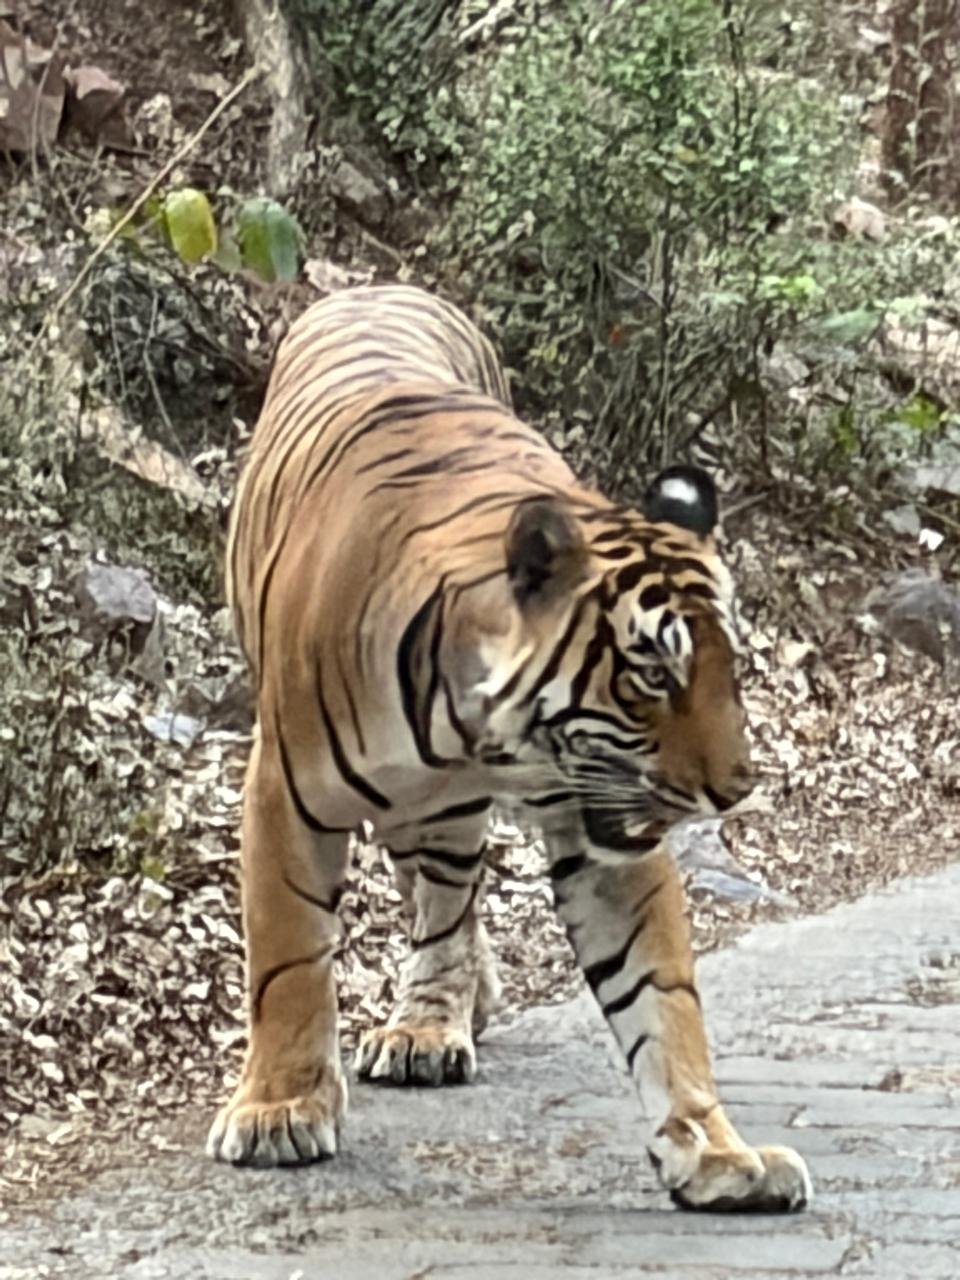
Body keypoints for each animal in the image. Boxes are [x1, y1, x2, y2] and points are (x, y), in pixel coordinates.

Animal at [207, 283, 811, 1212]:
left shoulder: (599, 836)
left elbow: (661, 995)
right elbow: (289, 958)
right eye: (652, 673)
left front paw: (714, 1151)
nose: (736, 788)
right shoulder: (284, 793)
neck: (474, 726)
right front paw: (280, 1110)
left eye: (726, 666)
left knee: (445, 901)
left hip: (438, 816)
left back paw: (436, 1021)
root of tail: (380, 284)